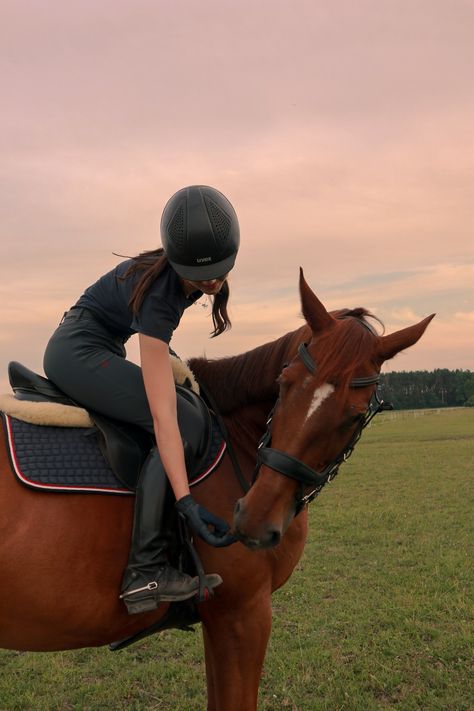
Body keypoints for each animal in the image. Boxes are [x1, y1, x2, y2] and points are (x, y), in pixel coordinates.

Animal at [0, 272, 434, 711]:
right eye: (284, 384)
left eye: (355, 415)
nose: (253, 522)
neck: (238, 443)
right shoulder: (242, 613)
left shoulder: (220, 618)